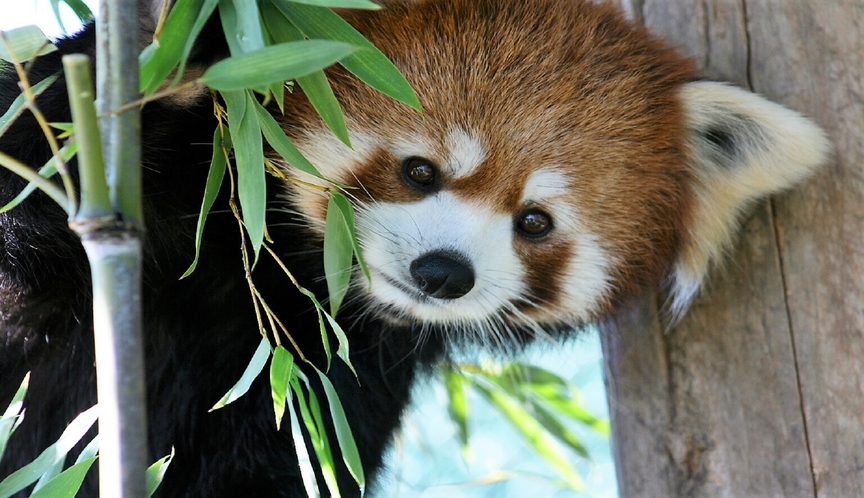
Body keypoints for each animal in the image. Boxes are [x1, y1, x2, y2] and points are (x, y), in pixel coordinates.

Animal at [0, 0, 828, 498]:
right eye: (420, 170)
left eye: (535, 221)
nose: (444, 273)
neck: (254, 268)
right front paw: (176, 49)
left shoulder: (327, 378)